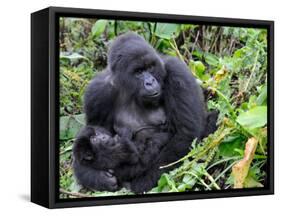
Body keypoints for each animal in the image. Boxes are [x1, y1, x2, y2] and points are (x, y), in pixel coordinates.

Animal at [72, 33, 217, 193]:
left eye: (151, 67)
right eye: (139, 72)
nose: (150, 82)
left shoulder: (177, 72)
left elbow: (185, 134)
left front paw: (141, 184)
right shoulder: (97, 93)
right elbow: (94, 131)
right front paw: (96, 177)